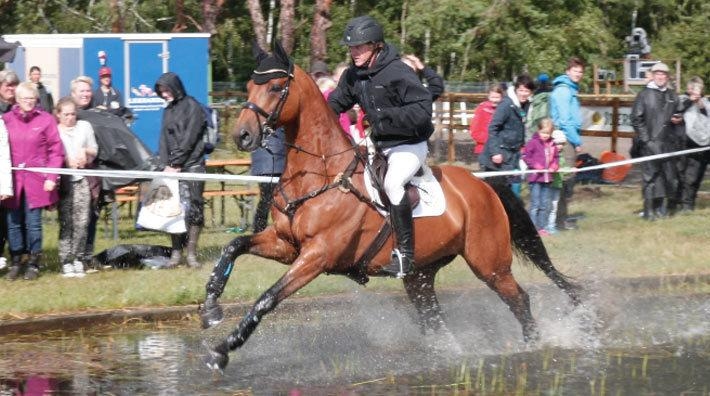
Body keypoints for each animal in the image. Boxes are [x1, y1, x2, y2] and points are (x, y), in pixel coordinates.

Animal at [197, 43, 580, 372]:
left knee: (519, 300)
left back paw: (533, 346)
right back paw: (449, 353)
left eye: (276, 87)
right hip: (421, 276)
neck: (320, 174)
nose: (243, 136)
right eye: (250, 86)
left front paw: (222, 350)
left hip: (490, 265)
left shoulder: (316, 256)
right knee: (434, 317)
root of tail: (483, 184)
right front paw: (211, 307)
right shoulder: (285, 244)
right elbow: (233, 246)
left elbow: (267, 298)